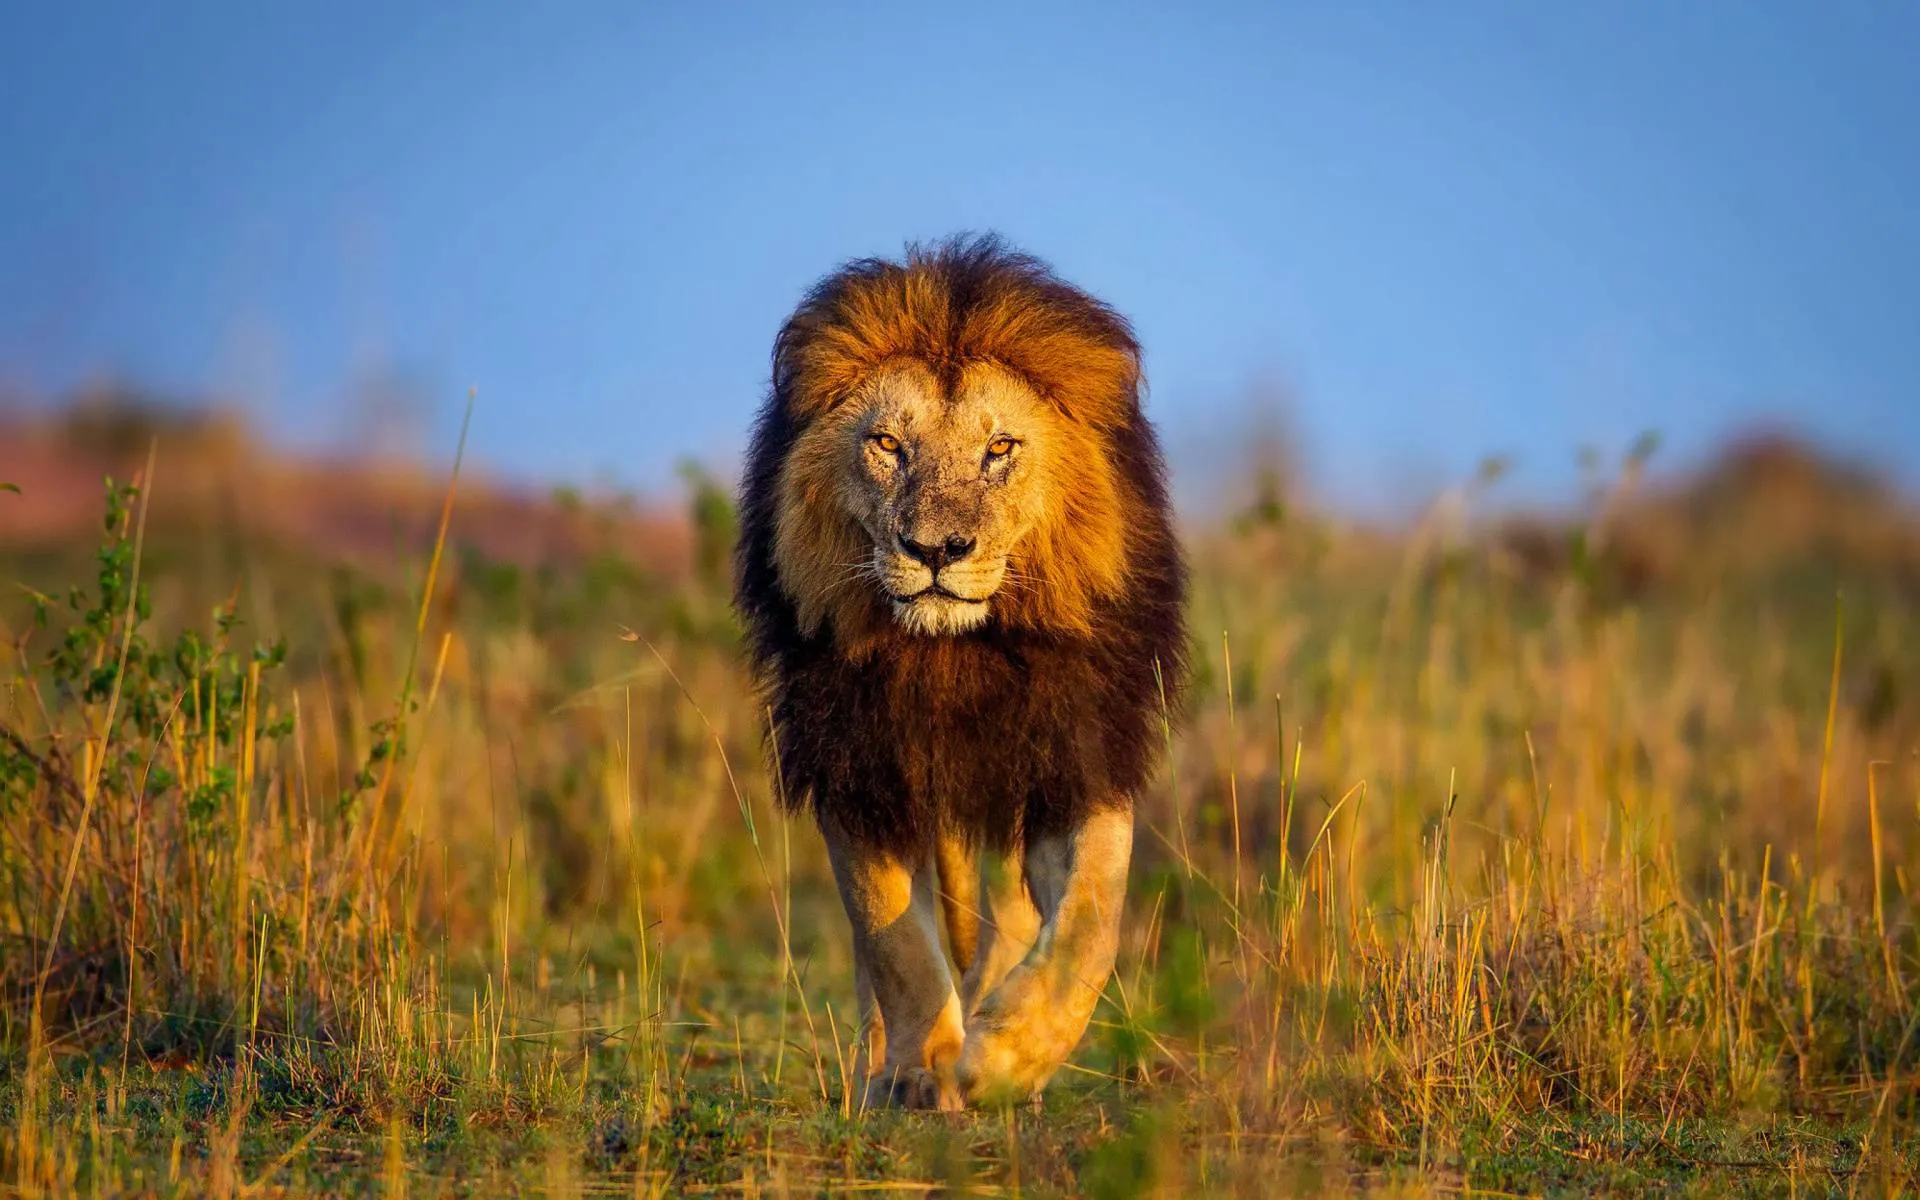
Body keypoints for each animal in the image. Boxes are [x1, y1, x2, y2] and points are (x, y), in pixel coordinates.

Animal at [733, 234, 1188, 1110]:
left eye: (999, 448)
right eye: (887, 445)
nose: (936, 550)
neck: (954, 656)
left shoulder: (1074, 755)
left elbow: (1090, 922)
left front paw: (1006, 1057)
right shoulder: (858, 760)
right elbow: (893, 940)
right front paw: (921, 1069)